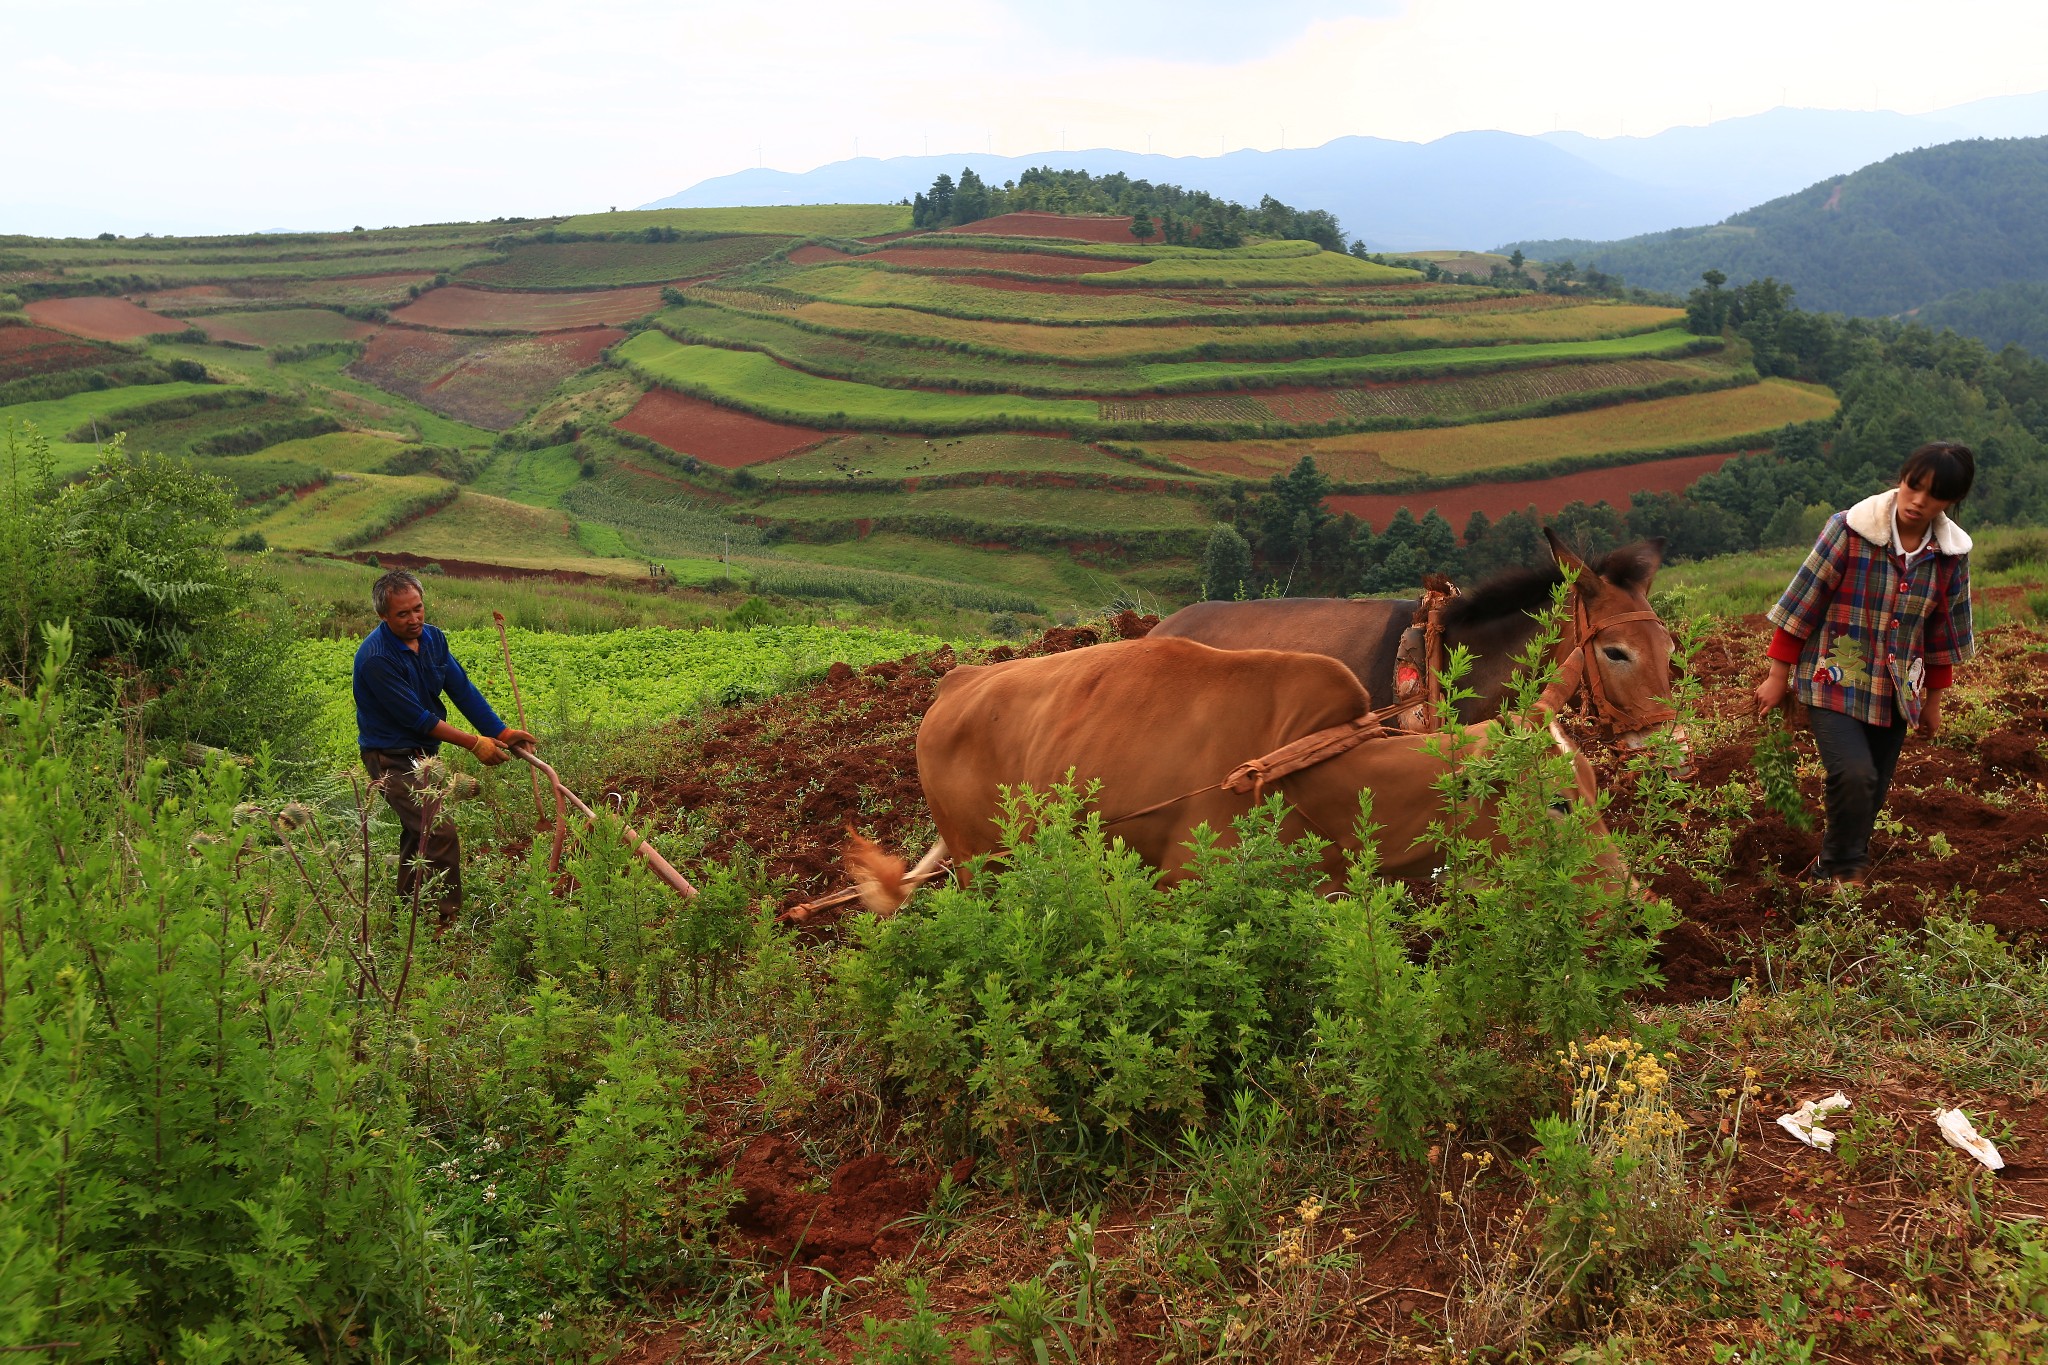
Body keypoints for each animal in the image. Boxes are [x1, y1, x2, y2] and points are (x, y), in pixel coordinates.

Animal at [839, 642, 1622, 916]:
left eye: (1594, 784)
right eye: (1558, 801)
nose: (1624, 889)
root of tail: (956, 682)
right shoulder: (1185, 884)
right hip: (984, 867)